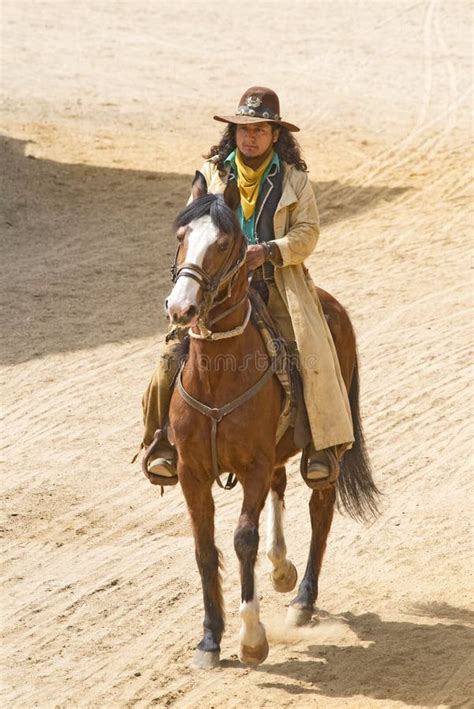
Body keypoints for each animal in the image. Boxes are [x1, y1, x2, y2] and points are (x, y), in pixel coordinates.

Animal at [157, 173, 380, 668]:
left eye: (223, 243)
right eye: (181, 237)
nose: (181, 309)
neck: (217, 377)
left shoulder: (252, 467)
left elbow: (243, 539)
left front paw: (252, 639)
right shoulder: (191, 472)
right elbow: (204, 548)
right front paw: (209, 639)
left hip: (323, 452)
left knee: (320, 507)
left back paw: (302, 600)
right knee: (282, 488)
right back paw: (281, 569)